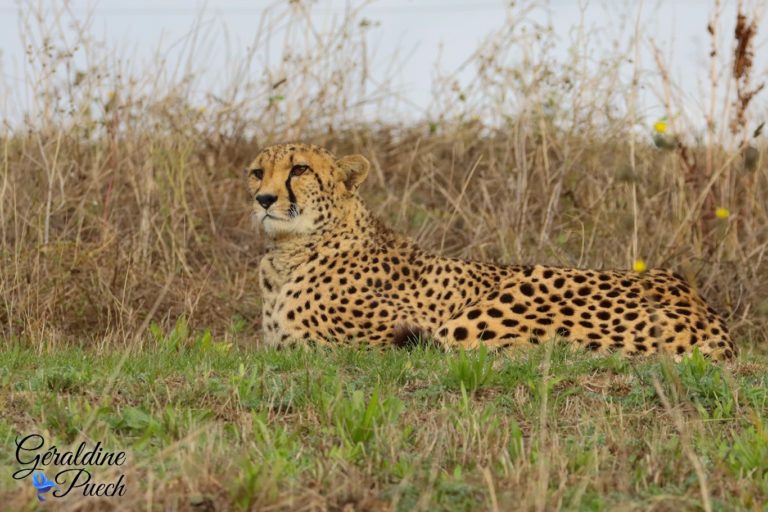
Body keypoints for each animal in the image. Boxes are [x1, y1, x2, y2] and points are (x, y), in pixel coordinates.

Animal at [249, 144, 736, 360]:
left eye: (299, 169)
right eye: (257, 172)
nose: (264, 199)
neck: (290, 251)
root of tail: (705, 307)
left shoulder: (382, 336)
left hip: (494, 308)